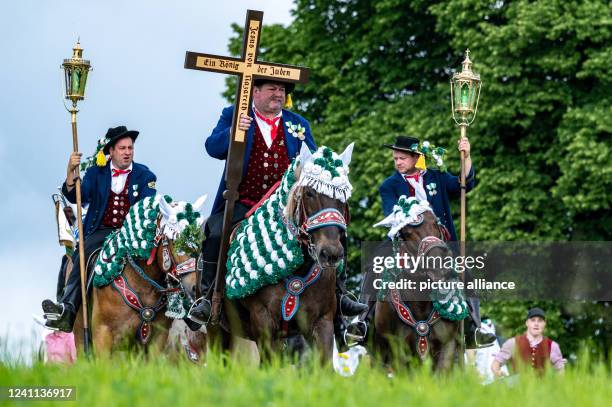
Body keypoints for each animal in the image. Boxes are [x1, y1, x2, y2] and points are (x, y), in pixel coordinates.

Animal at [208, 144, 354, 364]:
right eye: (309, 193)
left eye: (344, 196)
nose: (331, 253)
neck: (296, 271)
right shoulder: (264, 322)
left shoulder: (322, 323)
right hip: (217, 330)